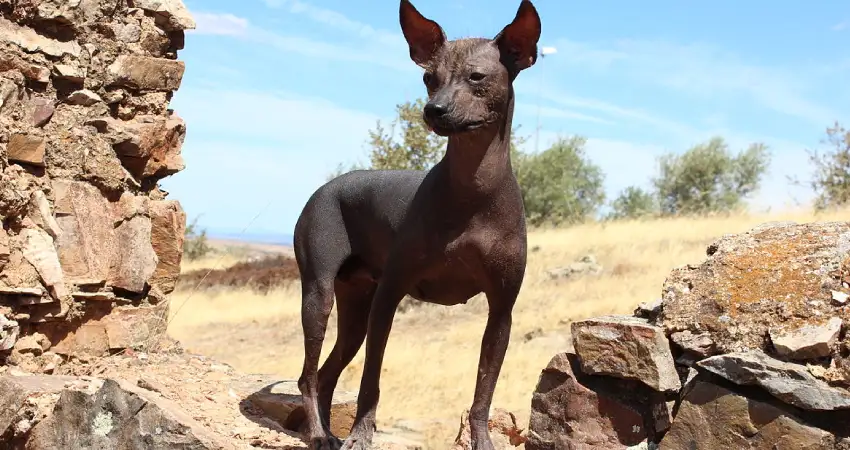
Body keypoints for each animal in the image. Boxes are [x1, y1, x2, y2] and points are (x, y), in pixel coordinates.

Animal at [292, 1, 540, 448]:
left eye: (477, 77)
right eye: (429, 78)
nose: (433, 110)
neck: (473, 190)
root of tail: (326, 188)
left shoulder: (501, 311)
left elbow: (484, 391)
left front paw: (482, 439)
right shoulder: (389, 297)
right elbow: (370, 381)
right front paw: (361, 434)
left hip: (355, 311)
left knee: (325, 374)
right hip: (319, 295)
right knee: (308, 375)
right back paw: (320, 435)